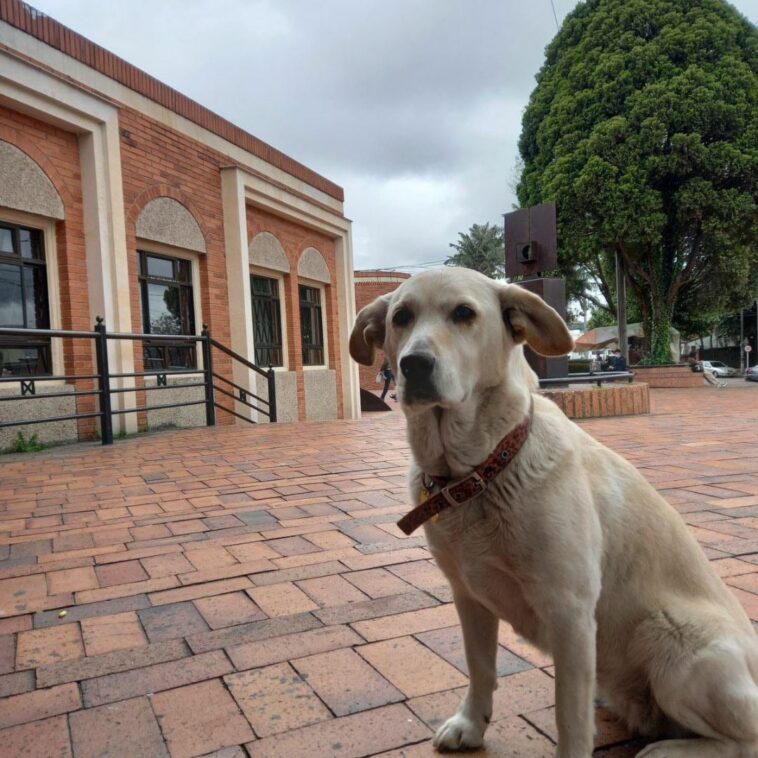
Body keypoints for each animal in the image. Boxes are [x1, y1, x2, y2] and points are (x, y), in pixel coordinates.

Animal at [350, 270, 758, 758]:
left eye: (464, 313)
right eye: (401, 317)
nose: (413, 364)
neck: (479, 471)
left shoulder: (571, 612)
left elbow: (569, 715)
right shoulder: (469, 597)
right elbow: (480, 668)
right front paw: (471, 724)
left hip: (675, 646)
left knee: (746, 739)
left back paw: (667, 750)